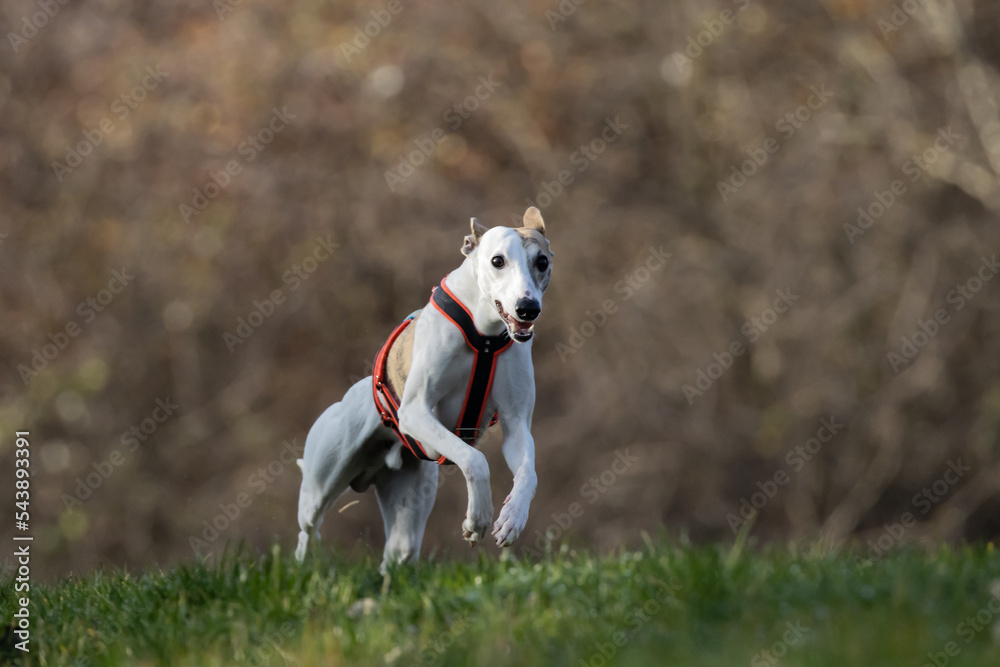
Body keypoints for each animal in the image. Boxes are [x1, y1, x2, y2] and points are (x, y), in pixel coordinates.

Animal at [292, 207, 560, 568]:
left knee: (398, 554)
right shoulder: (415, 412)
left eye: (542, 261)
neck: (485, 336)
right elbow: (475, 459)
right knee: (309, 526)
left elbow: (528, 473)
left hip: (408, 503)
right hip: (322, 478)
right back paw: (305, 561)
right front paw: (478, 518)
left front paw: (511, 519)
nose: (527, 307)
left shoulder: (516, 424)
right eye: (497, 261)